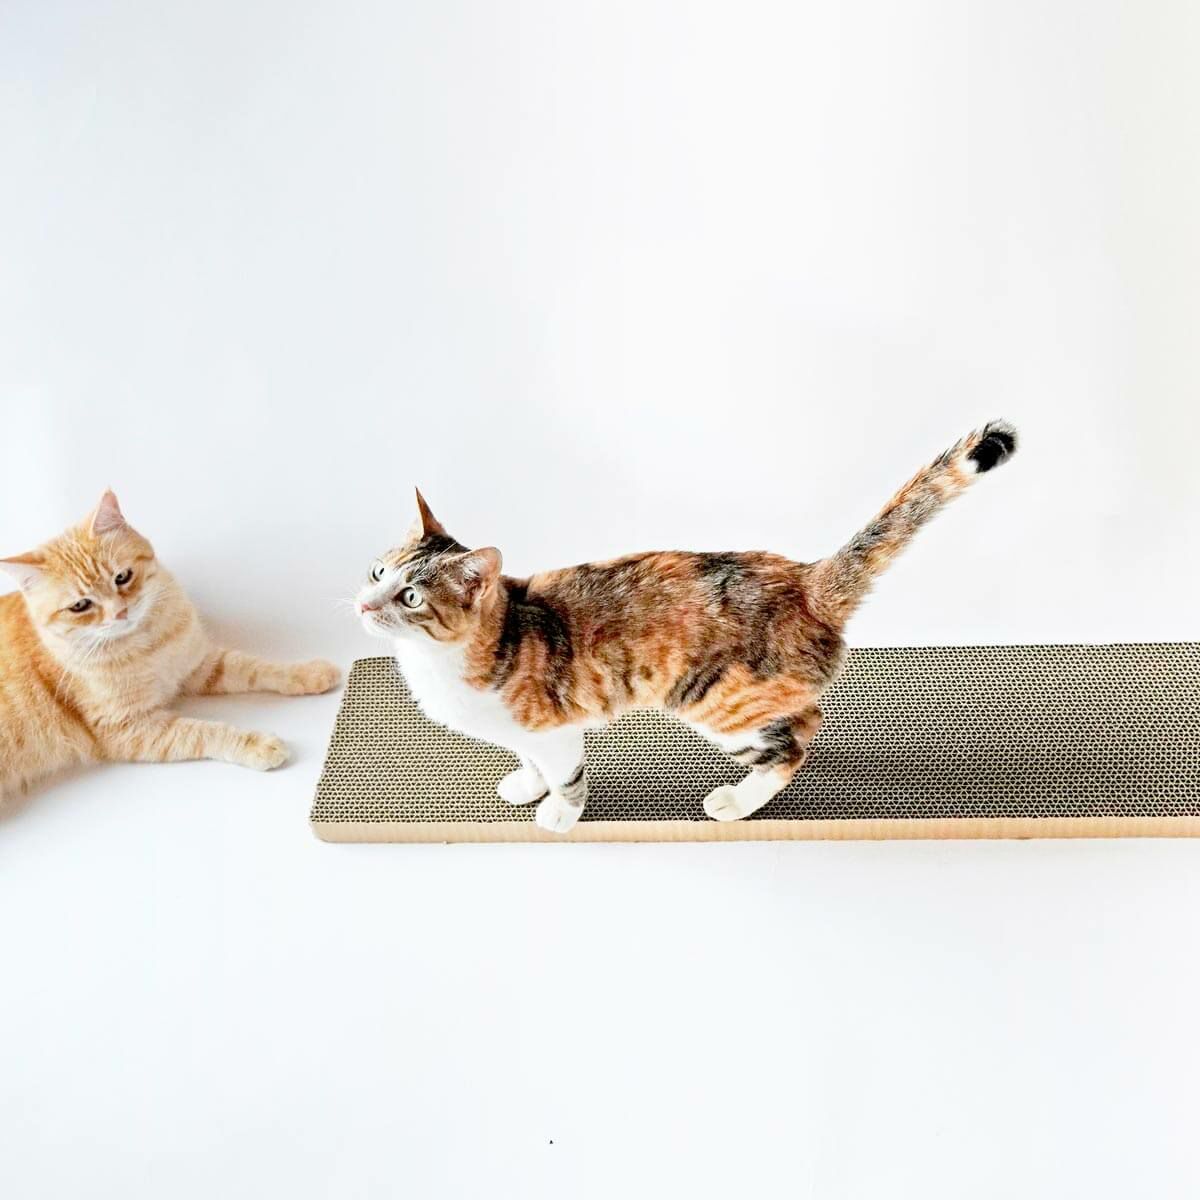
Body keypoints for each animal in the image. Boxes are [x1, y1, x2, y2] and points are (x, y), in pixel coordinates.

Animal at [0, 491, 340, 802]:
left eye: (122, 577)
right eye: (80, 606)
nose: (120, 613)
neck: (144, 646)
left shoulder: (200, 665)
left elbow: (258, 667)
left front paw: (309, 673)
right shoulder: (128, 728)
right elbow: (201, 732)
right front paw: (257, 744)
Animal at [355, 421, 1018, 833]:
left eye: (410, 595)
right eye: (377, 570)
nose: (363, 605)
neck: (441, 666)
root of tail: (804, 578)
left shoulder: (556, 729)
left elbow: (565, 774)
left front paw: (560, 813)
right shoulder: (523, 732)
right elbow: (533, 764)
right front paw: (525, 784)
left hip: (720, 700)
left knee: (796, 738)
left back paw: (737, 800)